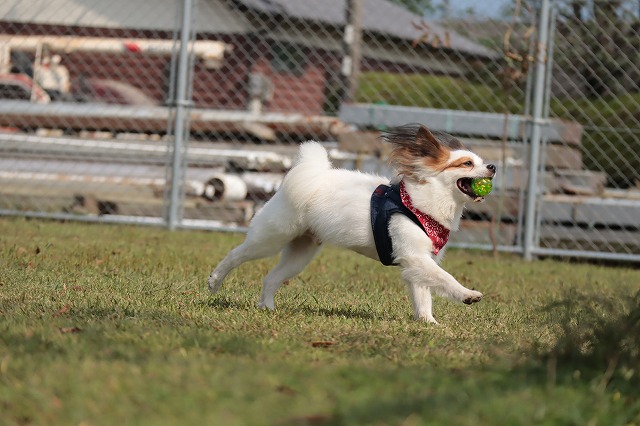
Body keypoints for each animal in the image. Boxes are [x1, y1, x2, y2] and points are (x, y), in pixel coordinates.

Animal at [208, 124, 496, 323]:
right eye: (467, 163)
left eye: (481, 161)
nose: (493, 166)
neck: (422, 203)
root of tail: (309, 176)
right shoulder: (414, 255)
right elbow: (445, 278)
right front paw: (467, 295)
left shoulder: (418, 262)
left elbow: (423, 294)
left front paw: (428, 323)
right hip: (272, 237)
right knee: (236, 255)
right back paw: (214, 282)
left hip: (301, 253)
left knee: (271, 278)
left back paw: (267, 307)